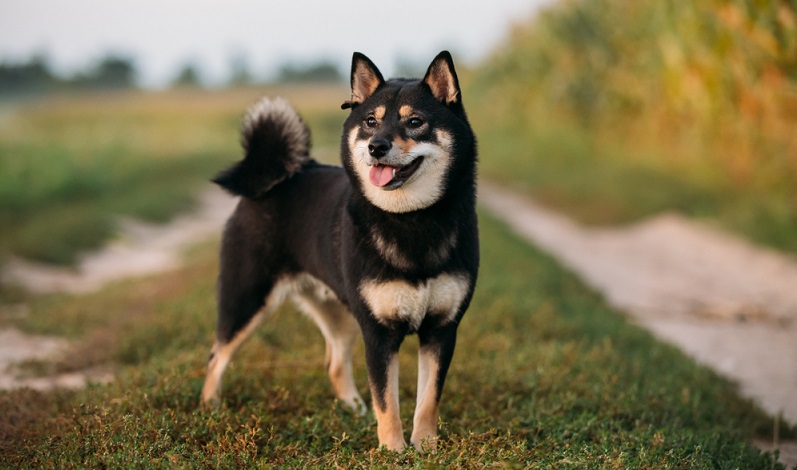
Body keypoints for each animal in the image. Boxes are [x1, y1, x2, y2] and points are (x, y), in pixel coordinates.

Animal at [202, 50, 478, 452]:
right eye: (370, 121)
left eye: (415, 122)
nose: (376, 146)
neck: (411, 220)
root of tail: (280, 177)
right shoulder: (378, 333)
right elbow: (388, 400)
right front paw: (393, 450)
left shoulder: (441, 329)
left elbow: (427, 400)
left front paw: (426, 448)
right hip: (248, 299)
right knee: (216, 354)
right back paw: (210, 408)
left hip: (340, 313)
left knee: (334, 364)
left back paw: (353, 408)